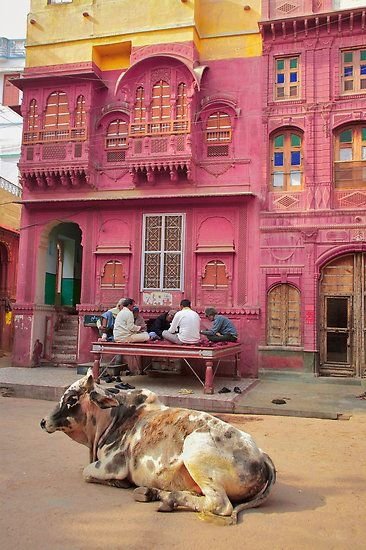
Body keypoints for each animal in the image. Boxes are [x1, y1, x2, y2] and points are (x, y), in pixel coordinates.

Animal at [40, 374, 274, 524]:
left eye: (72, 399)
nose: (43, 422)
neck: (115, 418)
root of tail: (261, 455)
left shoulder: (112, 465)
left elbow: (87, 473)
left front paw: (119, 483)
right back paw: (152, 493)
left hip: (195, 453)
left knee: (220, 504)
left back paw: (168, 499)